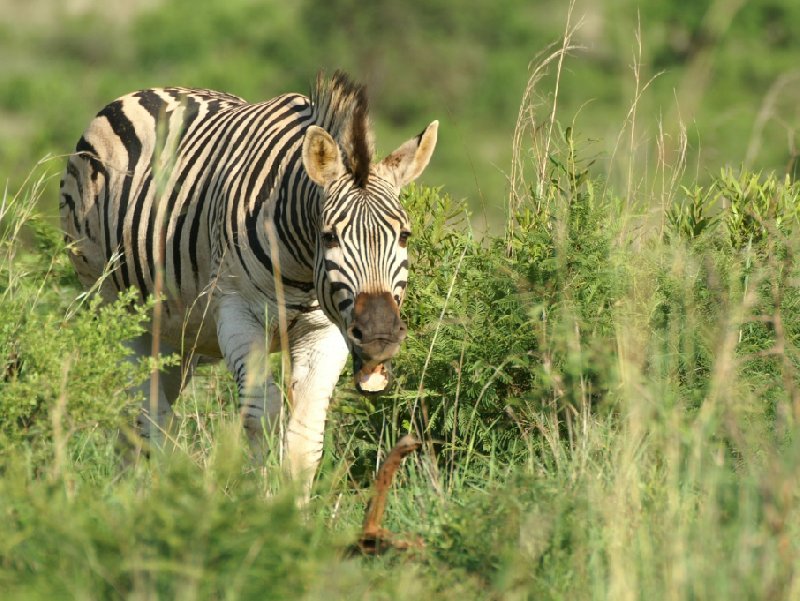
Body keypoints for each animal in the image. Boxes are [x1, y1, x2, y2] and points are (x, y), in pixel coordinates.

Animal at [61, 71, 438, 492]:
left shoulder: (323, 331)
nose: (378, 336)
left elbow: (306, 435)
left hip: (178, 334)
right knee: (144, 413)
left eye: (404, 236)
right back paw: (142, 494)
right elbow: (262, 415)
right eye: (328, 237)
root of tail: (149, 90)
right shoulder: (237, 314)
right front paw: (258, 498)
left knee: (148, 415)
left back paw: (133, 490)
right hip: (121, 312)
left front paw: (292, 503)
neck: (302, 268)